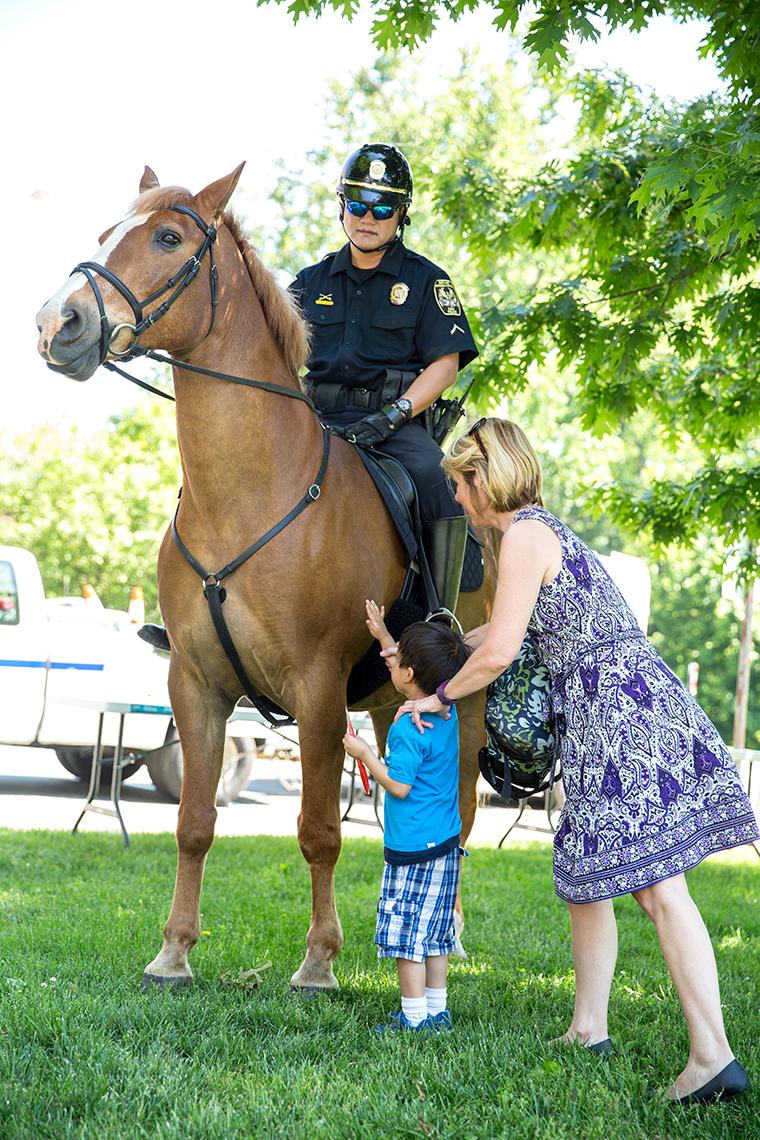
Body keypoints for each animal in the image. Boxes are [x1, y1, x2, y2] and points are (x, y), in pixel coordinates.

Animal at [36, 164, 497, 990]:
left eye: (168, 237)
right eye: (106, 234)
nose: (58, 323)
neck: (247, 494)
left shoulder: (316, 689)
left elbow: (318, 829)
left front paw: (318, 962)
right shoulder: (195, 684)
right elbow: (193, 822)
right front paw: (174, 952)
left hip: (464, 706)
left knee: (463, 813)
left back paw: (445, 930)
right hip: (394, 702)